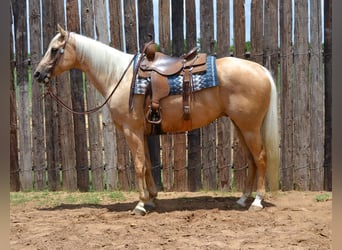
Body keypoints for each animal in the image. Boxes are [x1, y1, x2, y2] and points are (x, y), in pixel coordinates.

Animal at [34, 25, 280, 215]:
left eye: (54, 50)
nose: (37, 74)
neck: (118, 76)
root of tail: (261, 70)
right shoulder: (141, 133)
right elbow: (148, 165)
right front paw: (151, 198)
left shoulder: (131, 130)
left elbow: (139, 165)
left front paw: (141, 204)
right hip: (240, 126)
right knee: (251, 160)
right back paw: (243, 199)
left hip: (249, 127)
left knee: (260, 158)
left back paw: (257, 201)